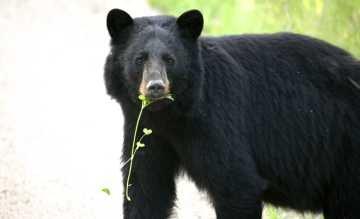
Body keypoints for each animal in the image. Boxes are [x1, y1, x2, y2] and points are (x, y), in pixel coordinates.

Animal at [104, 8, 360, 217]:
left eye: (170, 59)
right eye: (139, 59)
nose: (155, 86)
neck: (172, 114)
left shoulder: (218, 119)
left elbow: (236, 182)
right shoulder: (145, 126)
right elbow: (145, 186)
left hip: (345, 155)